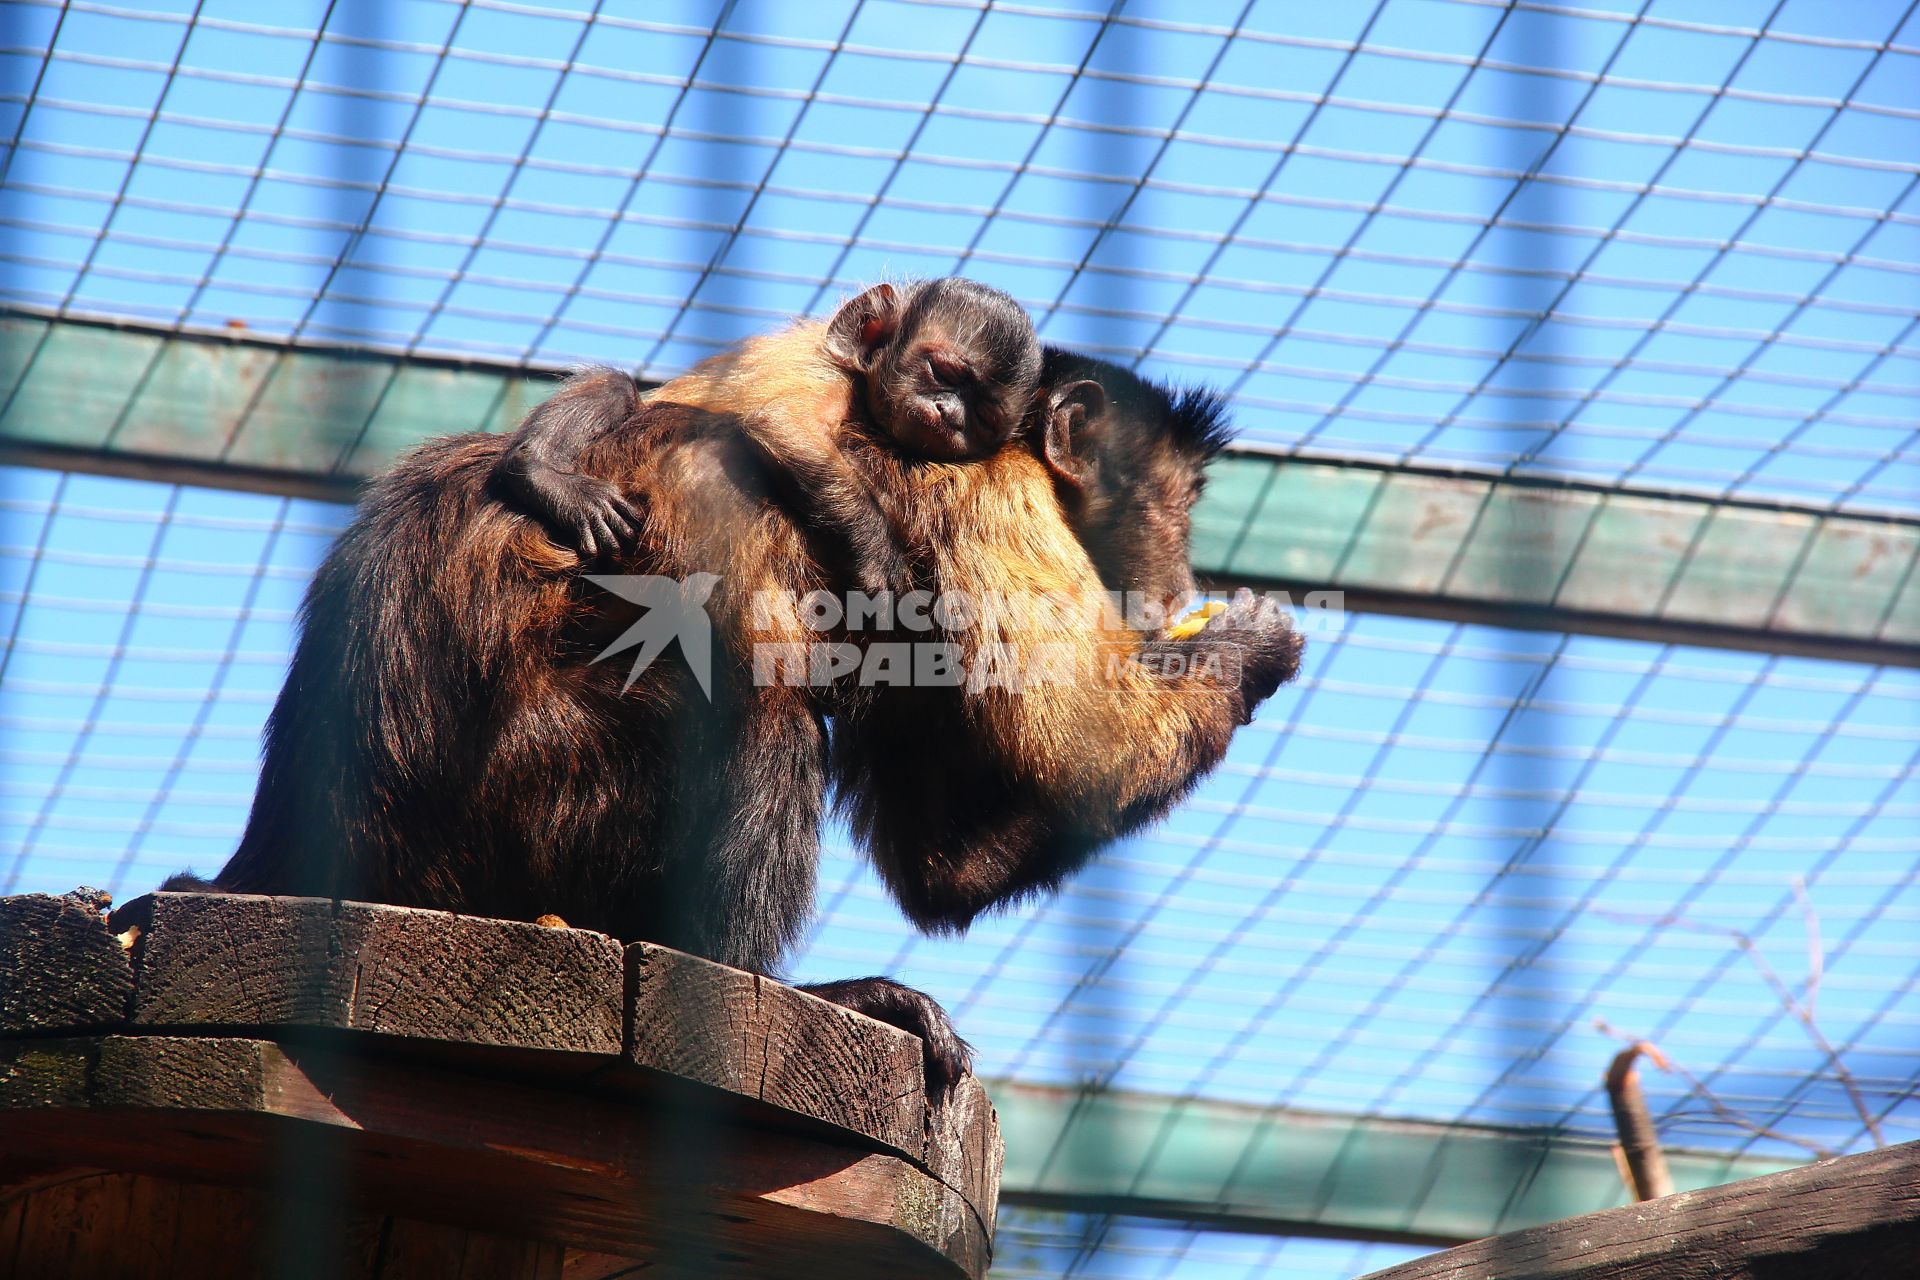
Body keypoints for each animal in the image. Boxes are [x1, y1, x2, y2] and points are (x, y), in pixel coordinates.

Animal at [487, 278, 1044, 587]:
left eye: (983, 416)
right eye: (943, 373)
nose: (949, 413)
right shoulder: (823, 369)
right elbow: (781, 424)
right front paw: (876, 553)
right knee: (618, 389)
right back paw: (539, 472)